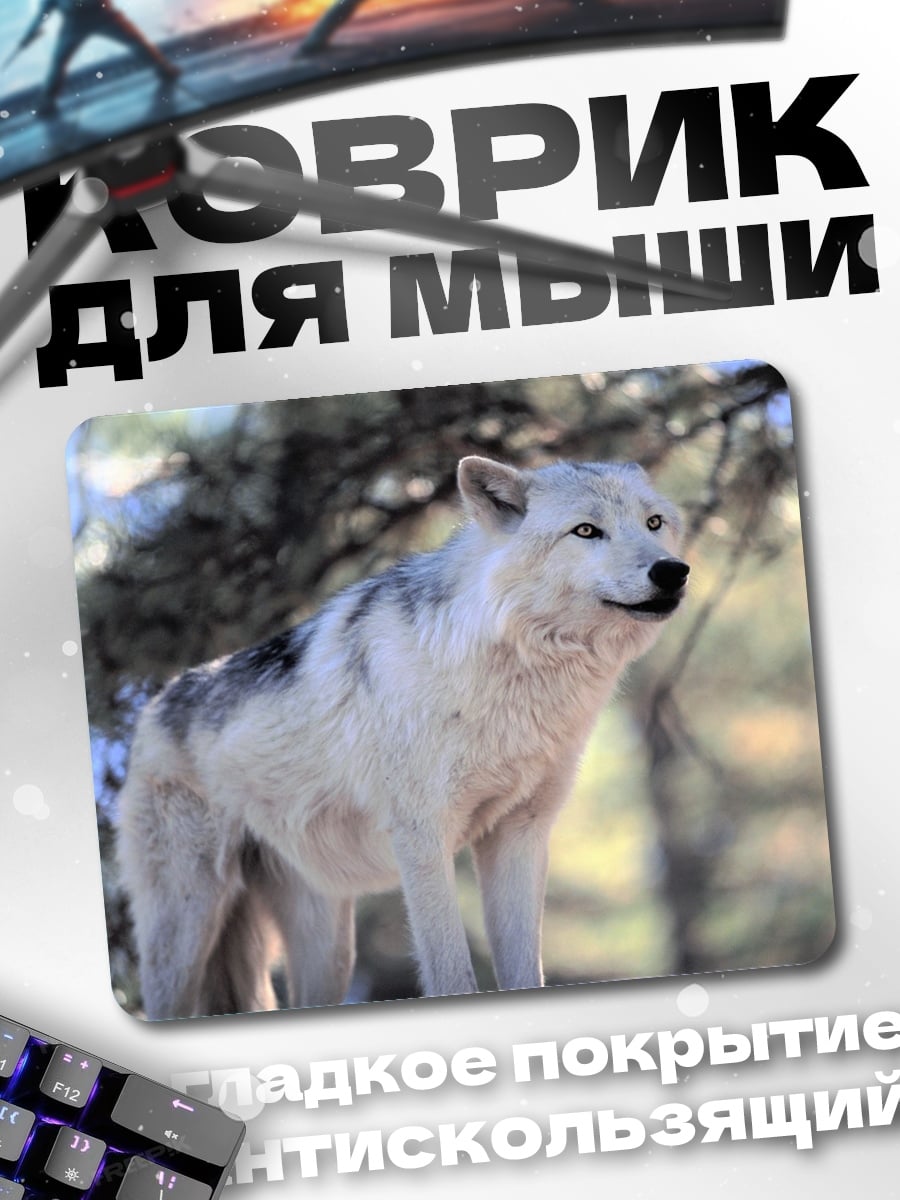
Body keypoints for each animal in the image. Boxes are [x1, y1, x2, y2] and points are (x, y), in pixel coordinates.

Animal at [117, 455, 689, 1018]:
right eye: (586, 531)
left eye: (653, 523)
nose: (673, 570)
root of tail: (152, 707)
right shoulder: (422, 838)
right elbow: (452, 974)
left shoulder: (519, 836)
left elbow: (528, 971)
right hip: (187, 929)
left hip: (326, 947)